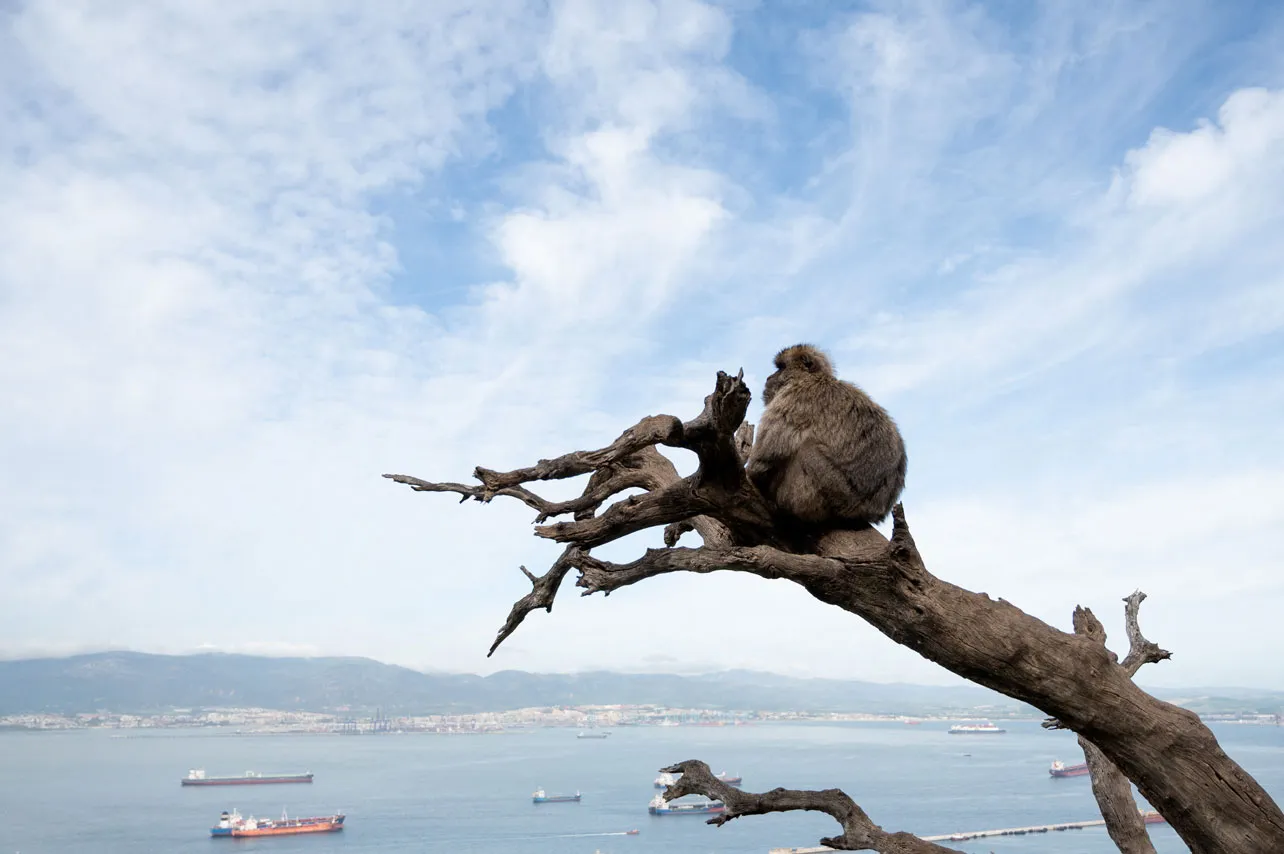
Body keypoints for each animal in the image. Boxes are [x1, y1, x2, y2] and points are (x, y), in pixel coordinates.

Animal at [745, 344, 907, 532]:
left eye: (781, 367)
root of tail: (871, 509)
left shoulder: (795, 397)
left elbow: (764, 459)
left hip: (837, 493)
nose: (769, 377)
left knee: (806, 450)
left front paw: (753, 471)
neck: (814, 378)